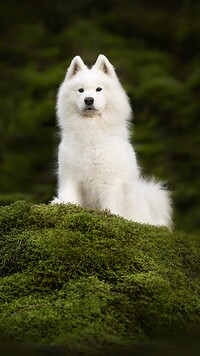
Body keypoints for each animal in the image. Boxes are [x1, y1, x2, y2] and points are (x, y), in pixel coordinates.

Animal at [51, 55, 172, 228]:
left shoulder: (110, 182)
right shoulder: (71, 178)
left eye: (98, 89)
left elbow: (111, 207)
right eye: (80, 90)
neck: (91, 133)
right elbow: (69, 198)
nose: (89, 100)